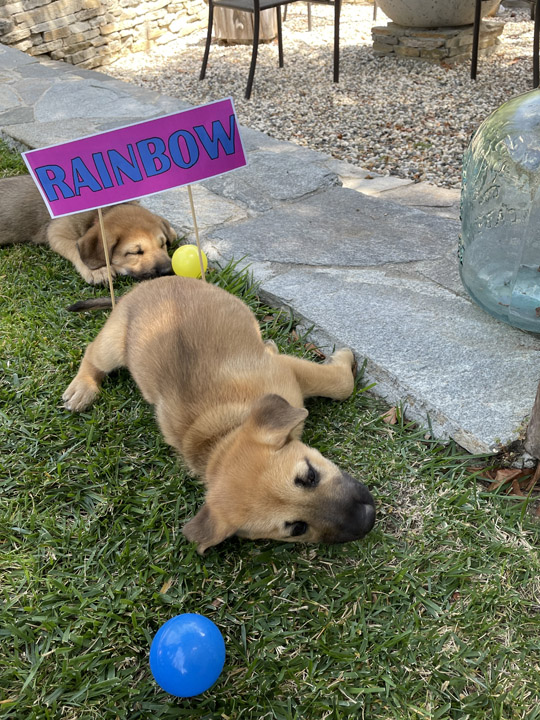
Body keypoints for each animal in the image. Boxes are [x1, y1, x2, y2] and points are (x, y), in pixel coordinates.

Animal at [0, 174, 175, 284]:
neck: (101, 211)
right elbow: (75, 248)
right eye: (134, 252)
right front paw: (98, 270)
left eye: (162, 244)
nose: (169, 270)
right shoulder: (56, 232)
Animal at [63, 276, 376, 552]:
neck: (223, 434)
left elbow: (340, 385)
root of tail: (137, 289)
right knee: (91, 352)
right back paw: (82, 387)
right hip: (113, 346)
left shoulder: (285, 370)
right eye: (297, 528)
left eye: (309, 476)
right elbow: (342, 383)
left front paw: (344, 358)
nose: (368, 518)